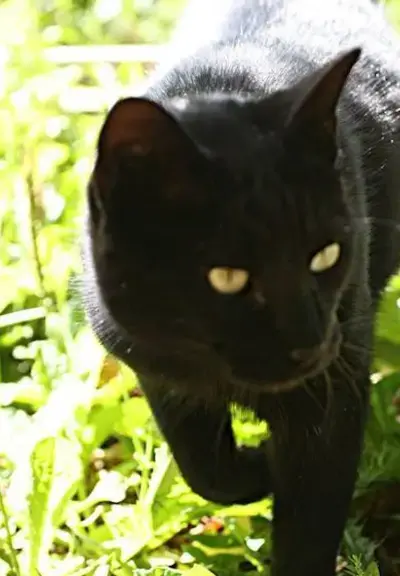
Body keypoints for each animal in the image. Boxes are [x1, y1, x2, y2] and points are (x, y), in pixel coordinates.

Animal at [83, 0, 400, 572]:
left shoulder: (333, 397)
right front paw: (258, 470)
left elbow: (309, 527)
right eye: (227, 277)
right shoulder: (158, 370)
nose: (309, 344)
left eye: (327, 255)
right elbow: (206, 471)